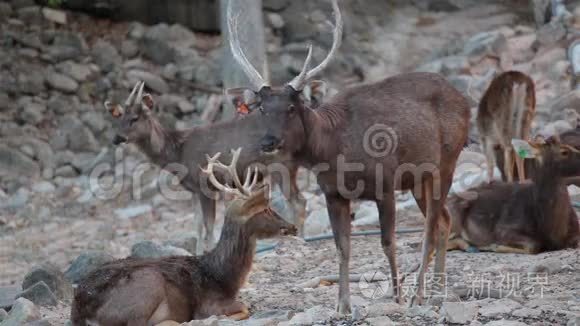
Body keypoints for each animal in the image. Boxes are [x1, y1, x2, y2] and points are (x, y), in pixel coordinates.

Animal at [71, 148, 300, 326]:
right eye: (266, 209)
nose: (293, 227)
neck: (222, 276)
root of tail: (80, 312)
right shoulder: (211, 304)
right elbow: (244, 308)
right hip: (147, 284)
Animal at [106, 81, 310, 252]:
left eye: (135, 118)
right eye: (119, 118)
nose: (116, 138)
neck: (177, 152)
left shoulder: (206, 186)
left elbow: (209, 226)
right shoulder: (194, 190)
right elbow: (197, 224)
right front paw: (197, 253)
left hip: (280, 168)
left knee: (298, 201)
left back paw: (300, 239)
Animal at [222, 0, 472, 312]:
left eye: (291, 107)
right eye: (262, 109)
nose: (269, 141)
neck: (334, 151)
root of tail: (464, 99)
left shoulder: (385, 184)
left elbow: (388, 242)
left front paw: (397, 297)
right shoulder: (334, 194)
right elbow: (342, 246)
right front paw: (343, 305)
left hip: (447, 163)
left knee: (430, 228)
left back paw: (419, 295)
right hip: (419, 179)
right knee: (444, 221)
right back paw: (437, 290)